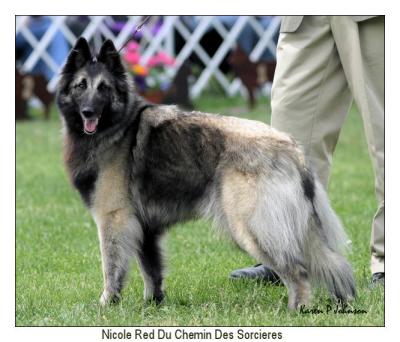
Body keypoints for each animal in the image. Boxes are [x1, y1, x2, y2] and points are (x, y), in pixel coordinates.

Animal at [56, 38, 356, 310]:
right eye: (81, 86)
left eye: (104, 88)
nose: (88, 112)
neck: (118, 127)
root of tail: (292, 148)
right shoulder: (145, 229)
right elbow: (151, 270)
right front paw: (153, 304)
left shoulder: (113, 219)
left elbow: (111, 267)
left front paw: (107, 303)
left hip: (251, 227)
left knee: (298, 273)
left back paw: (297, 310)